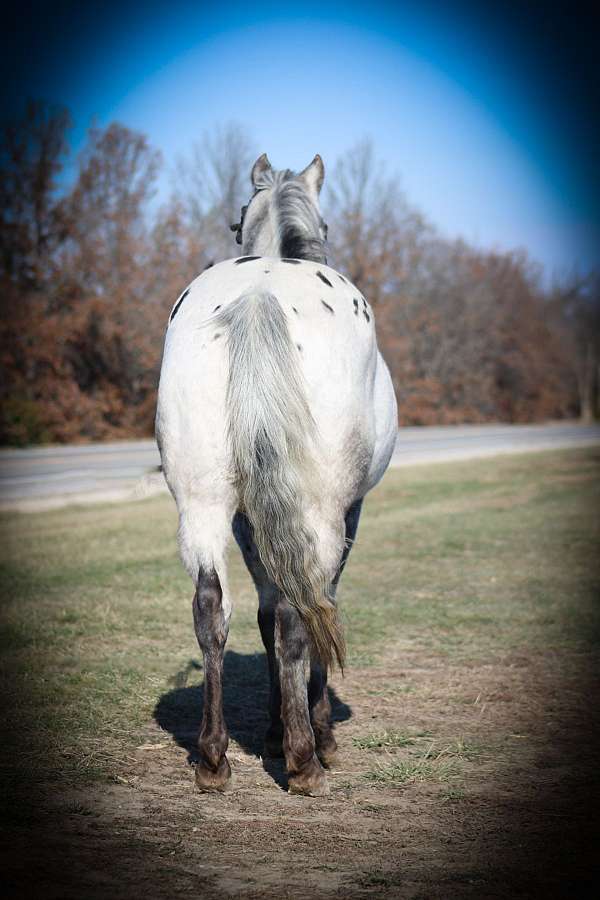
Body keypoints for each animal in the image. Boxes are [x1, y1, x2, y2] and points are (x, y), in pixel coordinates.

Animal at [155, 153, 398, 796]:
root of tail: (259, 295)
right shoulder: (348, 513)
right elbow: (316, 605)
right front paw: (315, 733)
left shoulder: (248, 518)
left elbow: (261, 612)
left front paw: (267, 730)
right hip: (317, 508)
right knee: (299, 612)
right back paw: (305, 759)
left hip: (204, 504)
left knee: (211, 607)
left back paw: (213, 758)